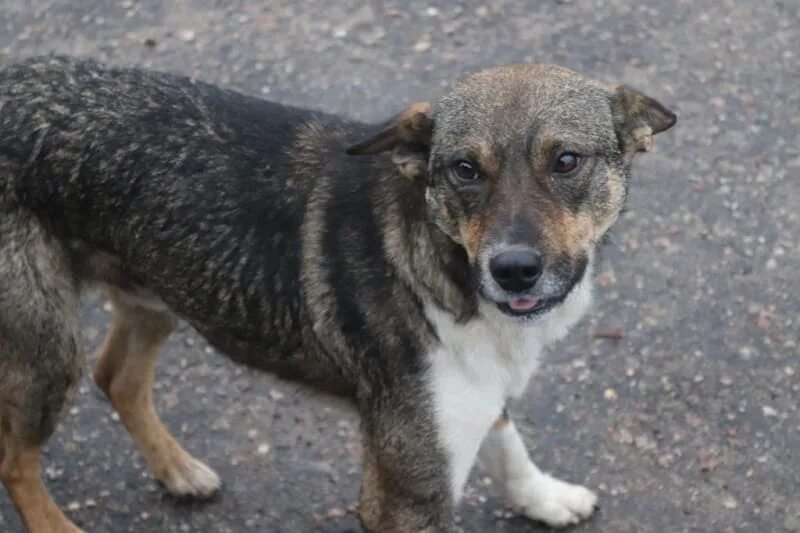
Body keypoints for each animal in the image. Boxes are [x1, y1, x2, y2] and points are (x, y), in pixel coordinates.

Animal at [0, 56, 676, 528]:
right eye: (464, 169)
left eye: (566, 161)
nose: (513, 270)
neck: (439, 260)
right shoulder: (406, 499)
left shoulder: (477, 397)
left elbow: (507, 443)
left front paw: (544, 498)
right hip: (46, 347)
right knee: (17, 458)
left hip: (153, 290)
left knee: (117, 377)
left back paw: (178, 471)